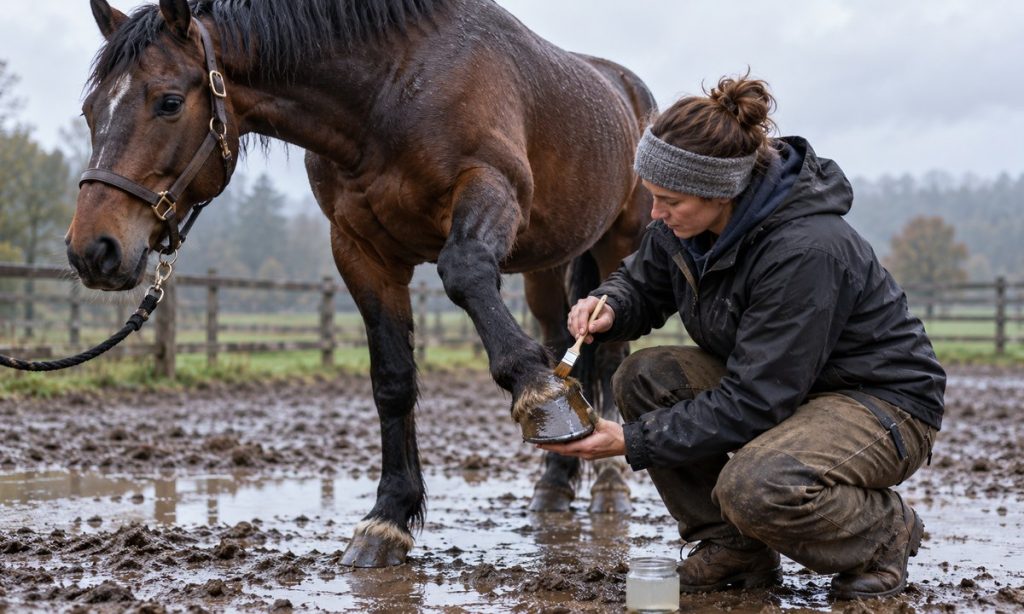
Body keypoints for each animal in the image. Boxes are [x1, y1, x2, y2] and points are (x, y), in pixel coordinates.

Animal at [68, 0, 655, 567]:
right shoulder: (361, 252)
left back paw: (609, 483)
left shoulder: (491, 188)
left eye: (168, 102)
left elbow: (463, 270)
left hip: (617, 241)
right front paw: (387, 519)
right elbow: (392, 382)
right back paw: (555, 485)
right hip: (545, 262)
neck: (388, 92)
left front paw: (538, 393)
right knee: (562, 336)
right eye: (90, 110)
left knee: (610, 354)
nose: (92, 250)